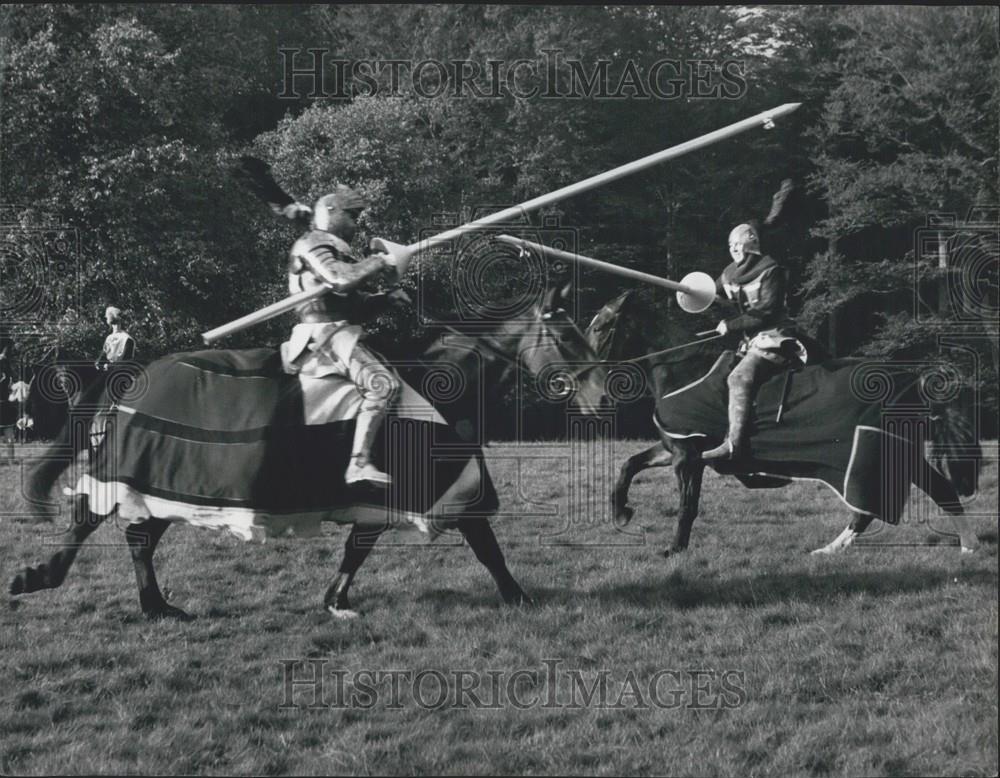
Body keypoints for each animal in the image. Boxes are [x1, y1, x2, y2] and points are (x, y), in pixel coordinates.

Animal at [11, 284, 608, 620]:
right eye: (569, 340)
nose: (602, 399)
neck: (442, 384)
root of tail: (136, 376)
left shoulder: (379, 503)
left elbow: (357, 550)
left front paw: (335, 600)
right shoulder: (450, 491)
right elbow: (488, 548)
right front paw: (521, 598)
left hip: (163, 486)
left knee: (139, 539)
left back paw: (157, 607)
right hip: (143, 472)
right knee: (92, 519)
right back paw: (42, 579)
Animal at [592, 298, 984, 556]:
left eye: (600, 325)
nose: (588, 370)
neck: (680, 371)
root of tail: (911, 380)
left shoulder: (688, 456)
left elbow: (687, 504)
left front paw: (674, 548)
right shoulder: (674, 447)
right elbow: (629, 465)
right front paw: (622, 513)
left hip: (877, 455)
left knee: (881, 504)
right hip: (899, 453)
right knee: (935, 490)